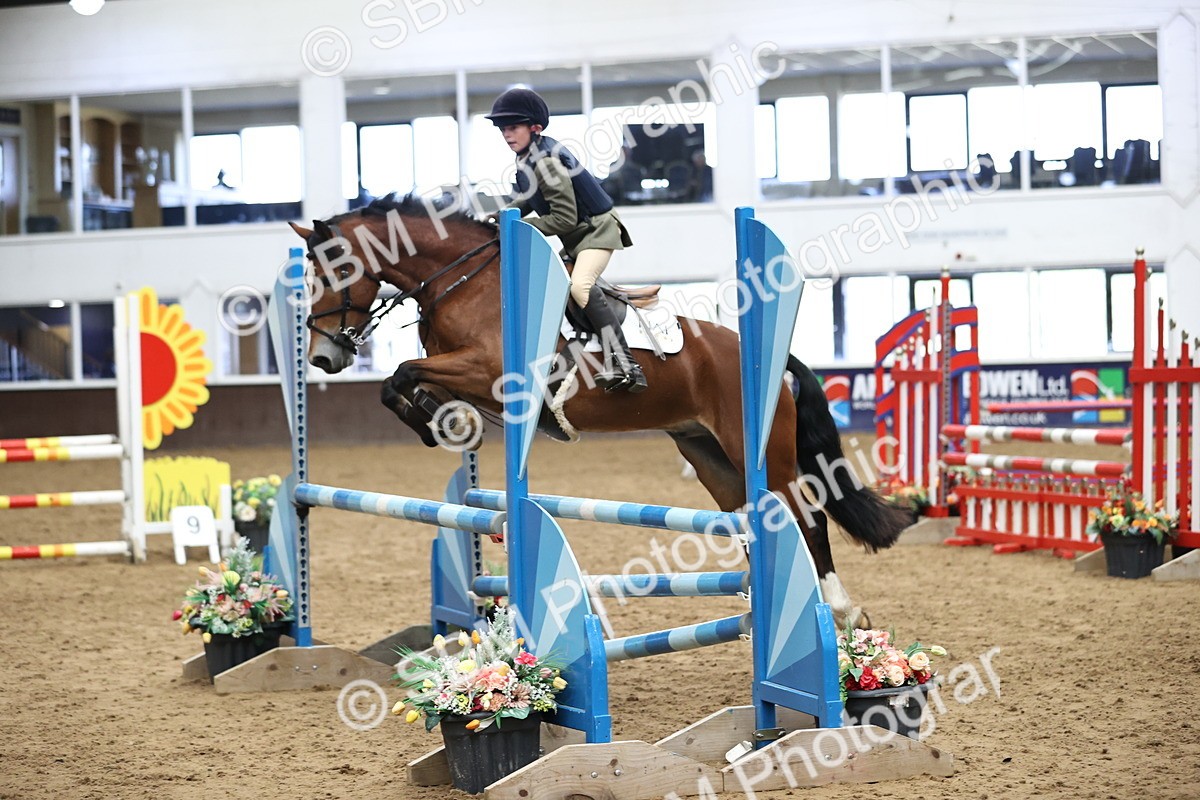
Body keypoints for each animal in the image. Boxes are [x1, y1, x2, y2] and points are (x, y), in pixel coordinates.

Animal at [288, 195, 910, 629]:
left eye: (336, 272)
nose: (322, 355)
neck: (461, 282)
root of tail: (769, 357)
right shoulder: (462, 373)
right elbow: (401, 384)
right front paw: (450, 424)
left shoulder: (489, 370)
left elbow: (401, 373)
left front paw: (445, 422)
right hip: (709, 456)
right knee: (754, 524)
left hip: (763, 452)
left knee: (809, 520)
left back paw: (844, 611)